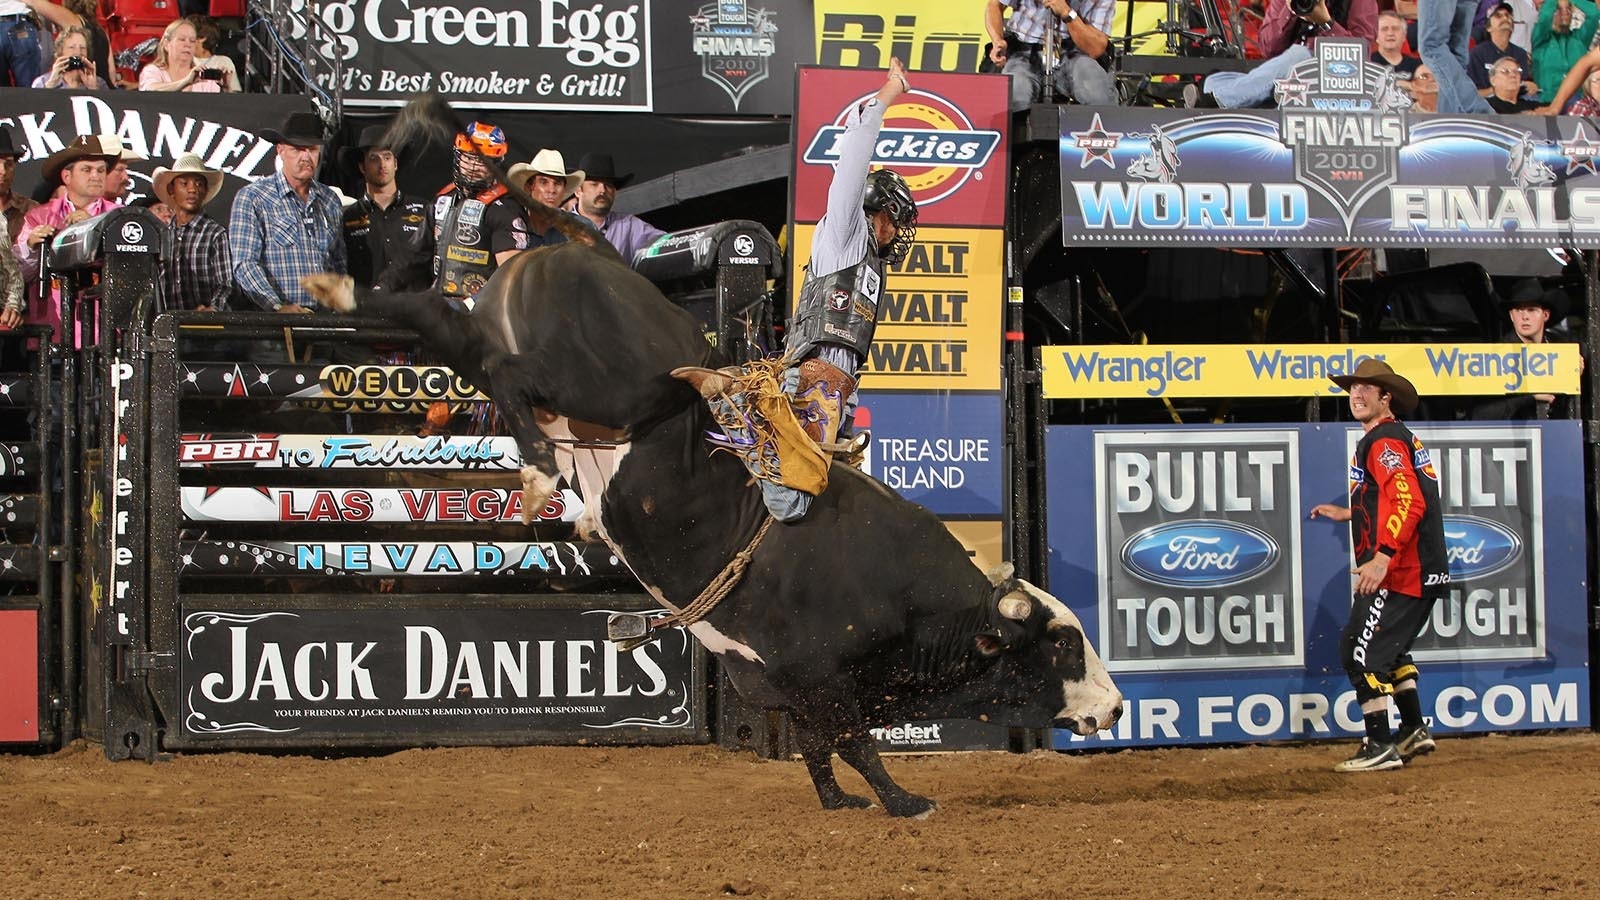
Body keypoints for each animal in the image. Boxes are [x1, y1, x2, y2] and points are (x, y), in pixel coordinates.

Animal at [305, 96, 1120, 813]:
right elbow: (855, 740)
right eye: (1062, 645)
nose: (1114, 709)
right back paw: (537, 474)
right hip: (608, 390)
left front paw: (840, 803)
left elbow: (820, 747)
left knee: (436, 319)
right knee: (511, 375)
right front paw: (905, 801)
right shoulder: (820, 673)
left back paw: (342, 291)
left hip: (488, 332)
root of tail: (572, 243)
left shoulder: (782, 680)